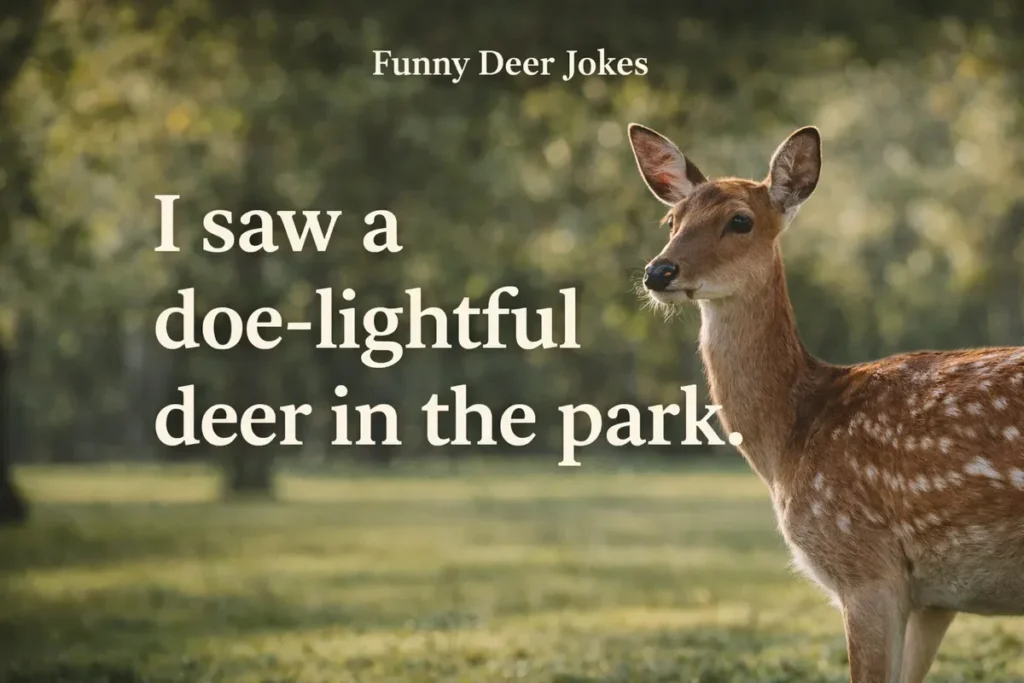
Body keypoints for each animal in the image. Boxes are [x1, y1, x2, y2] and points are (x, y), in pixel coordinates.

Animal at [626, 123, 1024, 683]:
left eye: (740, 220)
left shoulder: (864, 564)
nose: (659, 272)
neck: (791, 440)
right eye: (672, 220)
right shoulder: (935, 597)